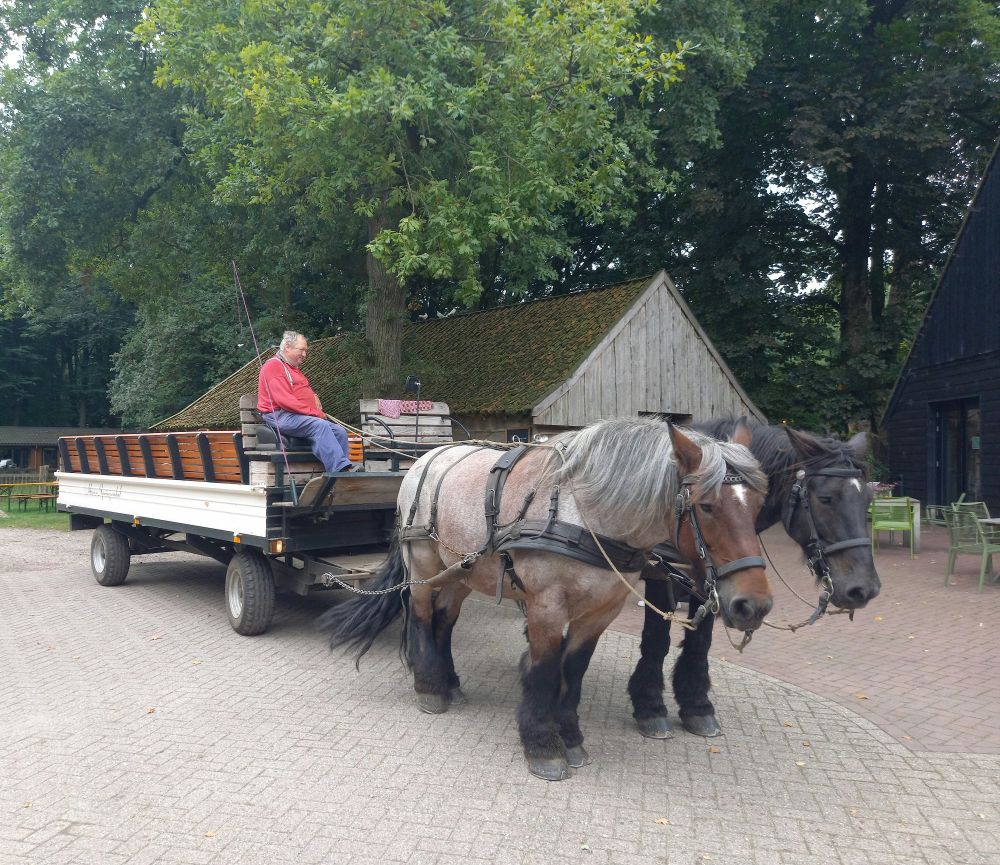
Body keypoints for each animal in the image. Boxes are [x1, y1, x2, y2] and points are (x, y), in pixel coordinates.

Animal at [319, 417, 771, 781]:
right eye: (707, 506)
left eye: (759, 505)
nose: (754, 606)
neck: (585, 513)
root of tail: (425, 457)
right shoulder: (546, 607)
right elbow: (544, 670)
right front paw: (542, 745)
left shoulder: (601, 611)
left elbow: (573, 671)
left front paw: (569, 736)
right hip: (423, 564)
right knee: (421, 616)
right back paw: (429, 686)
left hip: (463, 569)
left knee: (444, 620)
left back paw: (450, 683)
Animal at [627, 419, 880, 739]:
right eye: (825, 499)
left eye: (869, 500)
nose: (864, 588)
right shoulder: (661, 578)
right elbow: (656, 641)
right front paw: (649, 706)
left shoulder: (714, 584)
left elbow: (700, 643)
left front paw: (697, 706)